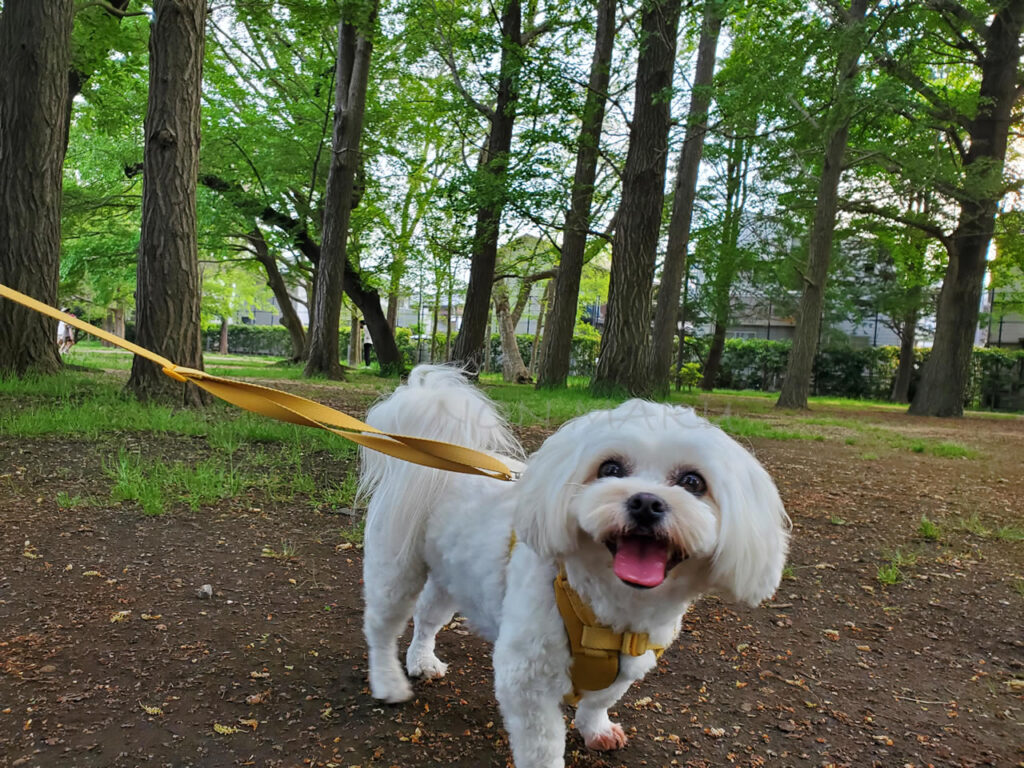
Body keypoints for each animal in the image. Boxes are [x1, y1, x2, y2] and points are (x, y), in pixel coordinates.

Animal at [362, 368, 790, 768]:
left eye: (692, 481)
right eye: (610, 469)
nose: (646, 503)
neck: (613, 608)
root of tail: (437, 463)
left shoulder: (629, 663)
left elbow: (601, 699)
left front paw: (596, 728)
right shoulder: (527, 680)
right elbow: (542, 745)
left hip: (452, 576)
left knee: (427, 618)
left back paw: (421, 660)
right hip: (395, 571)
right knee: (382, 631)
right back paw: (388, 682)